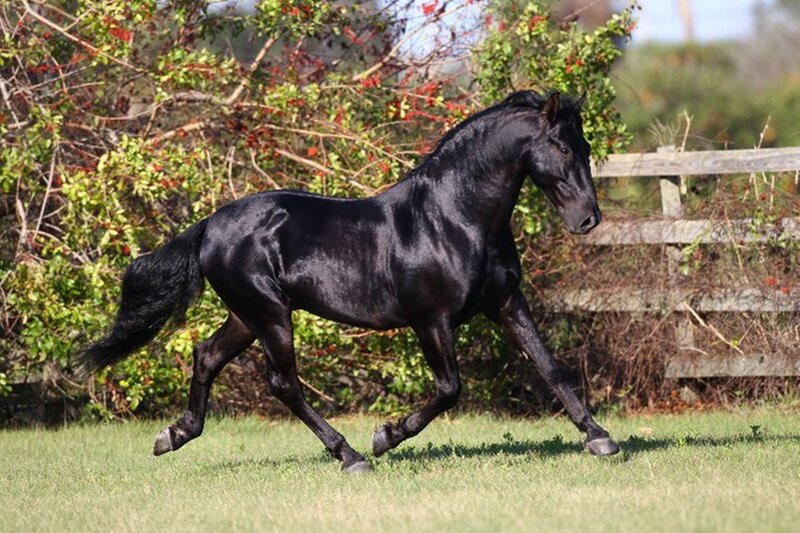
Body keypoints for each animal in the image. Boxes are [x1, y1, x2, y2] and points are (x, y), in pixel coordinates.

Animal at [77, 90, 619, 473]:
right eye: (561, 146)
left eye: (586, 146)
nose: (588, 219)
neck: (454, 218)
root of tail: (210, 225)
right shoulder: (431, 320)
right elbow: (449, 389)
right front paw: (386, 436)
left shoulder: (506, 301)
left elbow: (552, 369)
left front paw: (600, 438)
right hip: (271, 315)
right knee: (283, 383)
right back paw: (351, 456)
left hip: (247, 316)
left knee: (207, 356)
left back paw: (173, 435)